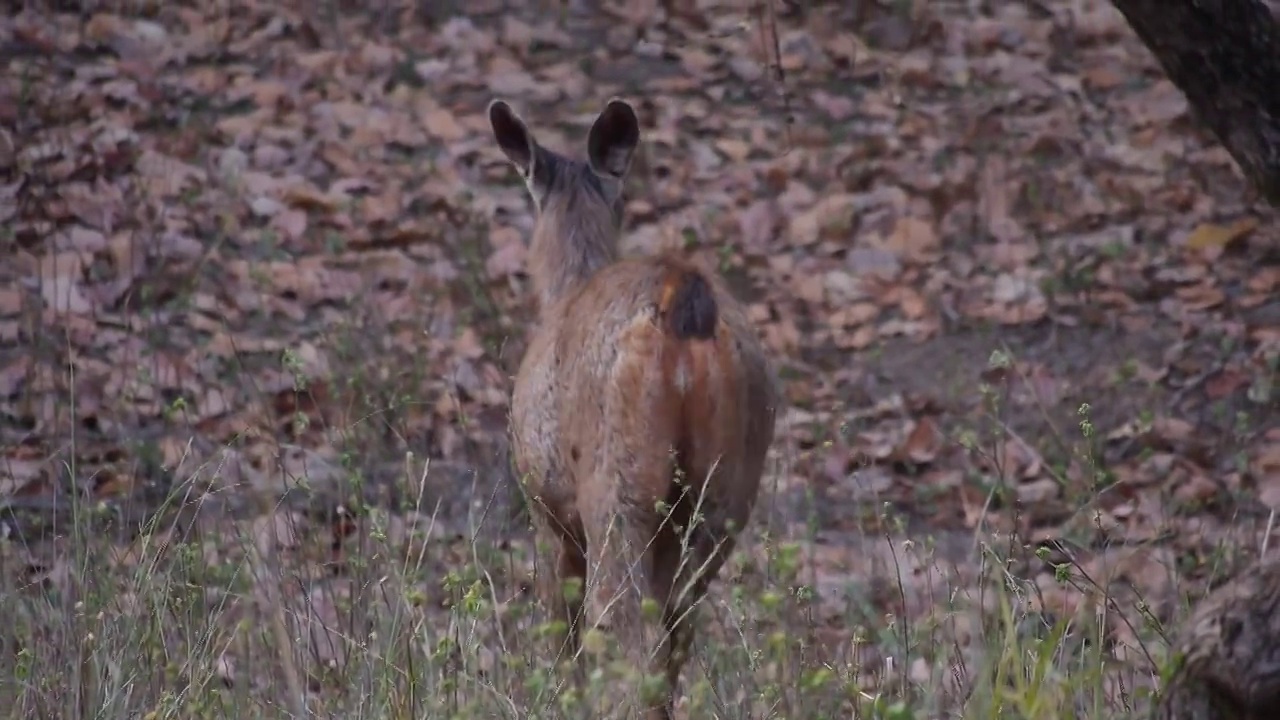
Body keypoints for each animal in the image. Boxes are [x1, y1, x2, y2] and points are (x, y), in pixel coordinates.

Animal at [486, 96, 778, 717]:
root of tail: (683, 298)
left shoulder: (547, 509)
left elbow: (562, 630)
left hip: (616, 488)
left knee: (626, 631)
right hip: (724, 494)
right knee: (676, 632)